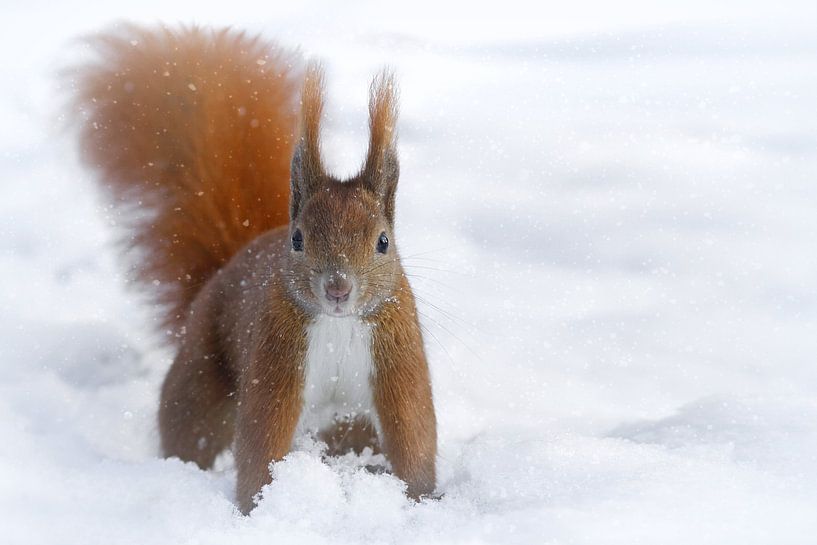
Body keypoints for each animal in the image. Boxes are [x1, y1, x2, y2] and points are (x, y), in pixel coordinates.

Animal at [73, 24, 436, 510]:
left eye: (383, 242)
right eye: (298, 239)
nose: (338, 288)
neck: (338, 324)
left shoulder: (398, 359)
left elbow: (412, 432)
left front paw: (420, 500)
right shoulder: (275, 358)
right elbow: (263, 439)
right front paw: (260, 506)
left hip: (350, 426)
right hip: (200, 382)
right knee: (191, 429)